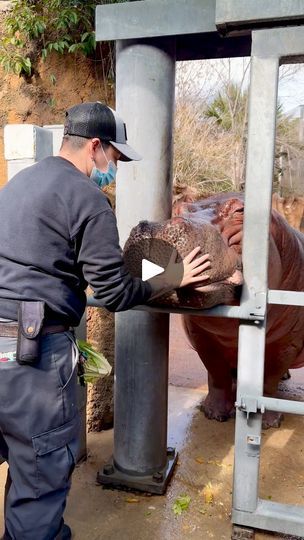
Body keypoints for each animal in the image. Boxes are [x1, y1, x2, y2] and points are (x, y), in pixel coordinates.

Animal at [123, 192, 304, 428]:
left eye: (240, 210)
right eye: (178, 207)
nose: (154, 227)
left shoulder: (287, 343)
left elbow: (269, 379)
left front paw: (269, 423)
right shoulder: (202, 337)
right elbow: (216, 372)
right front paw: (213, 414)